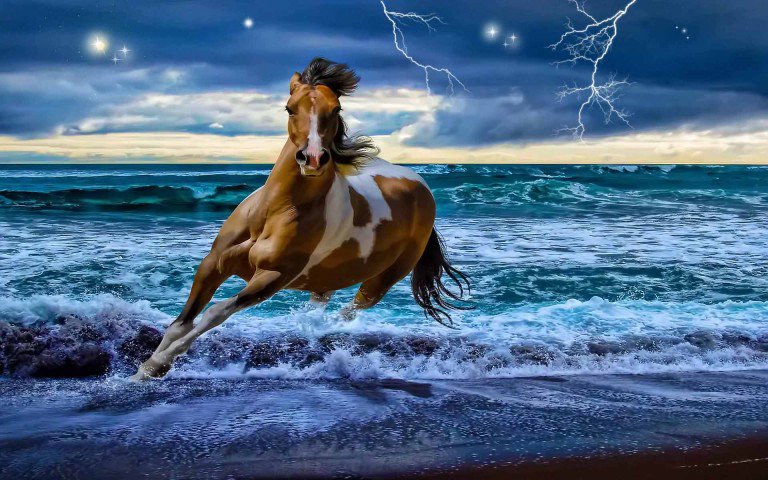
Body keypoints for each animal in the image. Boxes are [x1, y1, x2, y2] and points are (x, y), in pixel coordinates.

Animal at [132, 58, 470, 380]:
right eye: (290, 108)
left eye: (336, 109)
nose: (313, 158)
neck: (273, 212)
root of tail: (421, 187)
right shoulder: (213, 264)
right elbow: (181, 323)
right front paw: (142, 370)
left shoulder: (272, 277)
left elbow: (215, 313)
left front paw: (155, 366)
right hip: (328, 277)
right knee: (323, 299)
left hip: (383, 279)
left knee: (350, 310)